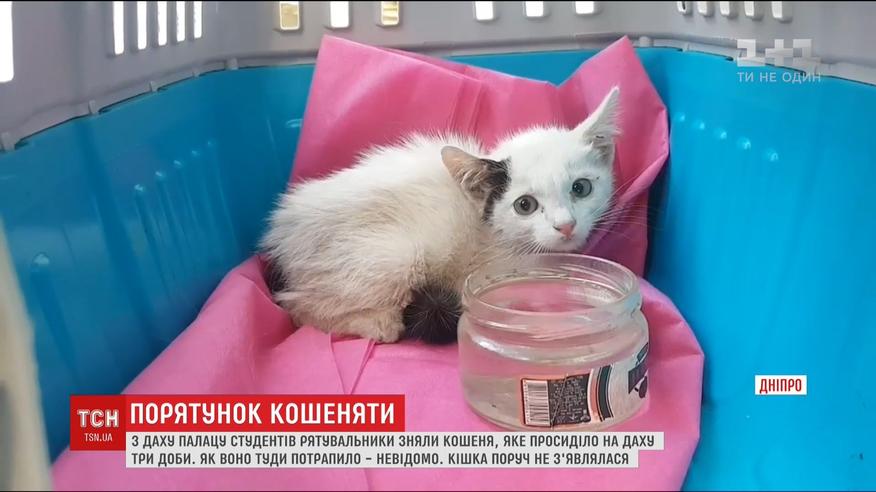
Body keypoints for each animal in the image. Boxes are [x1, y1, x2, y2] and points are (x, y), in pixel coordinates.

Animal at [261, 86, 620, 344]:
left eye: (581, 188)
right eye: (525, 206)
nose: (566, 226)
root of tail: (281, 233)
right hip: (396, 254)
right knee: (296, 306)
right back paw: (379, 323)